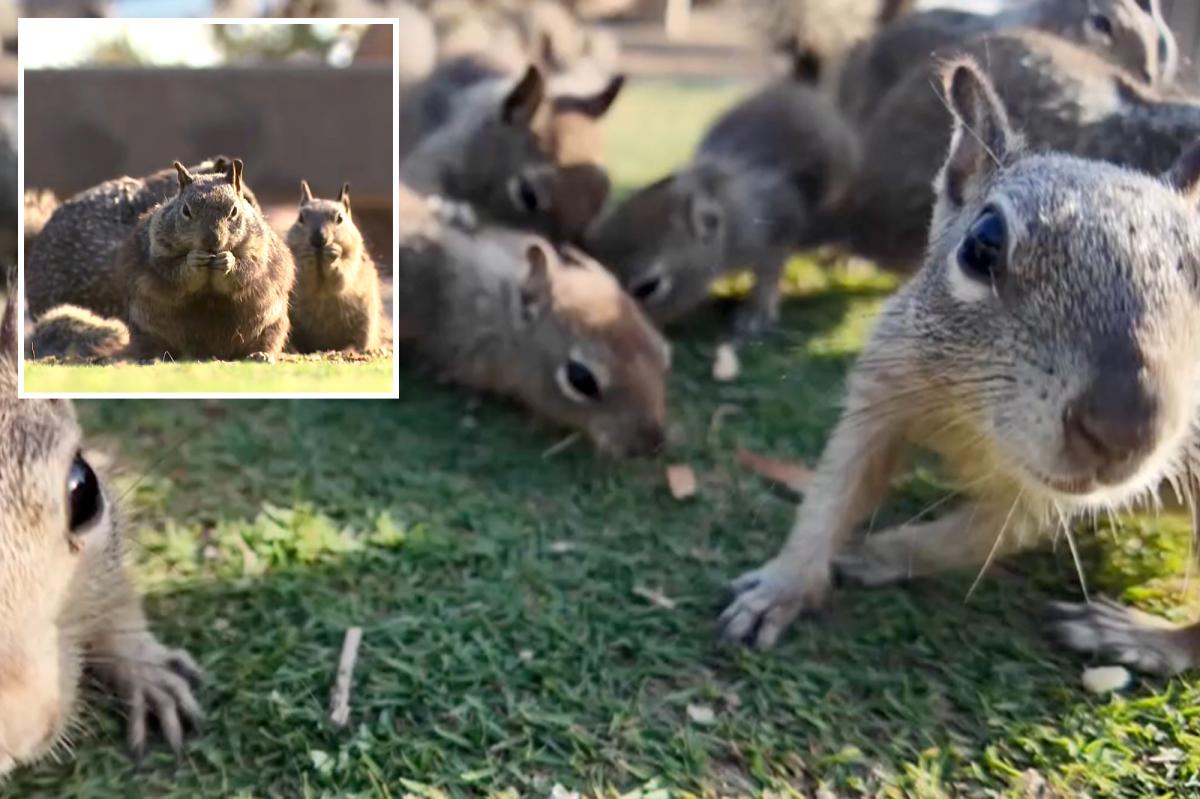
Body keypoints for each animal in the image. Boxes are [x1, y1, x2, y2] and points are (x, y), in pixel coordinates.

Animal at [286, 180, 382, 353]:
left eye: (340, 218)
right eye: (300, 218)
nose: (318, 239)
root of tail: (323, 346)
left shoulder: (353, 259)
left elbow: (342, 276)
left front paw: (333, 253)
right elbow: (301, 278)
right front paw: (306, 255)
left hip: (365, 319)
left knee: (358, 341)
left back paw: (349, 349)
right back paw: (292, 348)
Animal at [720, 58, 1200, 678]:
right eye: (982, 245)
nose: (1126, 430)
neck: (977, 420)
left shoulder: (1044, 499)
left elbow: (970, 538)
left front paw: (878, 552)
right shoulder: (882, 392)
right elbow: (834, 492)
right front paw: (782, 585)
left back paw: (1137, 636)